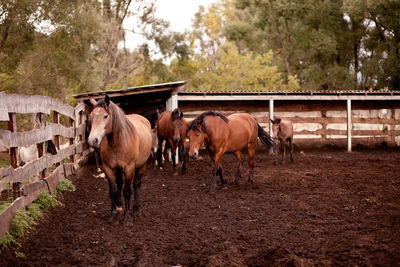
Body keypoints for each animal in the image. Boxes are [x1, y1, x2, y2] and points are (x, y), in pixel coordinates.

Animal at [88, 95, 152, 223]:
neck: (118, 143)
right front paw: (114, 214)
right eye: (91, 116)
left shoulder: (129, 168)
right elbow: (113, 191)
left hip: (141, 166)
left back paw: (136, 209)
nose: (93, 140)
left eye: (105, 116)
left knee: (136, 185)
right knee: (120, 183)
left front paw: (127, 216)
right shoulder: (108, 168)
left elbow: (127, 191)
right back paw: (119, 204)